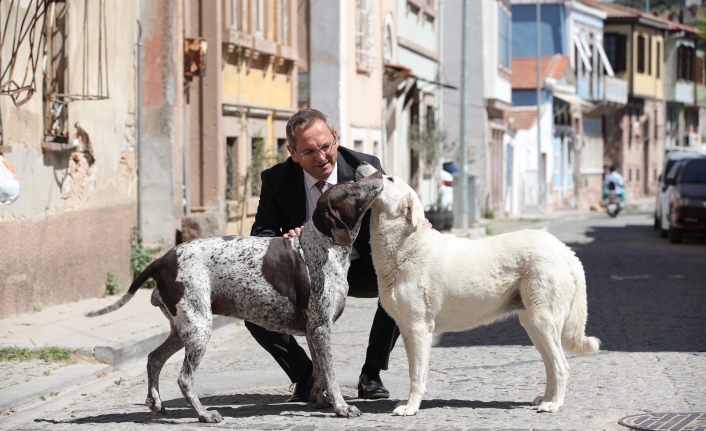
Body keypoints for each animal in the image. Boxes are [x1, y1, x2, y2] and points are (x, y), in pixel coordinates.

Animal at [88, 171, 384, 422]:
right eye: (351, 189)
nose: (380, 173)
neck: (324, 245)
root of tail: (163, 259)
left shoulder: (314, 330)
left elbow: (321, 371)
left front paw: (320, 400)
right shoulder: (321, 328)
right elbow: (331, 373)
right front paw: (342, 407)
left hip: (182, 328)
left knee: (154, 359)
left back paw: (156, 403)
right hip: (199, 329)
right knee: (184, 378)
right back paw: (204, 415)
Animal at [358, 165, 600, 416]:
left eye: (389, 178)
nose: (365, 164)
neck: (406, 245)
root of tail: (566, 251)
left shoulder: (419, 328)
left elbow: (416, 376)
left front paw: (410, 407)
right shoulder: (407, 329)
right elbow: (413, 371)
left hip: (543, 320)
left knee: (562, 366)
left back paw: (554, 405)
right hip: (532, 324)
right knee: (550, 364)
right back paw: (545, 399)